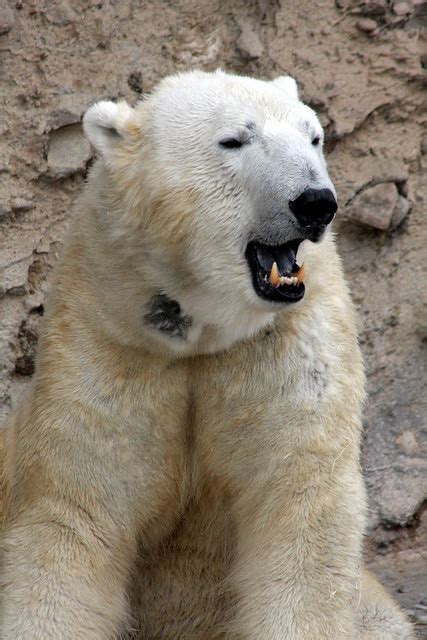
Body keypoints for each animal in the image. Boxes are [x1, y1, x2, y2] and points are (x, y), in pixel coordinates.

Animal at [0, 71, 414, 640]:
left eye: (313, 137)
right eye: (234, 140)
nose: (315, 202)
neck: (203, 332)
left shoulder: (285, 345)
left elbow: (301, 500)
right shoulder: (109, 341)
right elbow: (75, 512)